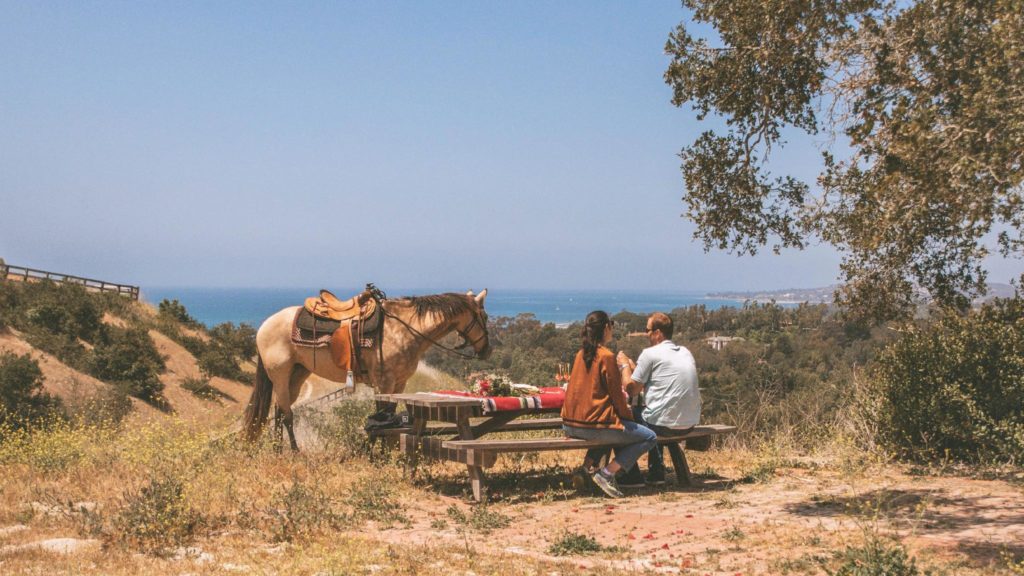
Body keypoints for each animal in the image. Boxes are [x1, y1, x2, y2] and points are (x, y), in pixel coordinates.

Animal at [243, 286, 491, 448]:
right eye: (485, 316)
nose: (487, 350)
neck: (405, 329)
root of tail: (264, 326)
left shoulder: (399, 384)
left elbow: (389, 416)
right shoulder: (384, 383)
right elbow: (381, 416)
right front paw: (381, 451)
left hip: (297, 374)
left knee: (278, 411)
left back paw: (278, 450)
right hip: (281, 375)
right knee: (286, 415)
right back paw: (294, 452)